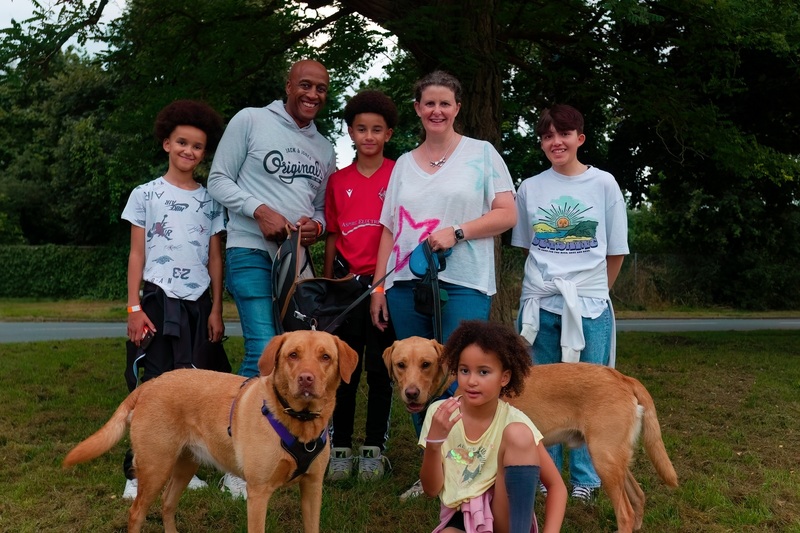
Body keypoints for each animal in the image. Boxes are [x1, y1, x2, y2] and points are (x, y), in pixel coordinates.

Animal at [64, 330, 358, 528]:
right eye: (292, 355)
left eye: (325, 357)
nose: (306, 379)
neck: (298, 421)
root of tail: (148, 384)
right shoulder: (258, 493)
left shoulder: (312, 488)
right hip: (156, 467)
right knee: (137, 512)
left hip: (185, 464)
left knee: (167, 504)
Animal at [384, 336, 680, 532]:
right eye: (400, 365)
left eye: (426, 364)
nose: (411, 393)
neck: (455, 378)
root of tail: (622, 378)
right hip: (613, 459)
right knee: (638, 496)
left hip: (603, 458)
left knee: (625, 513)